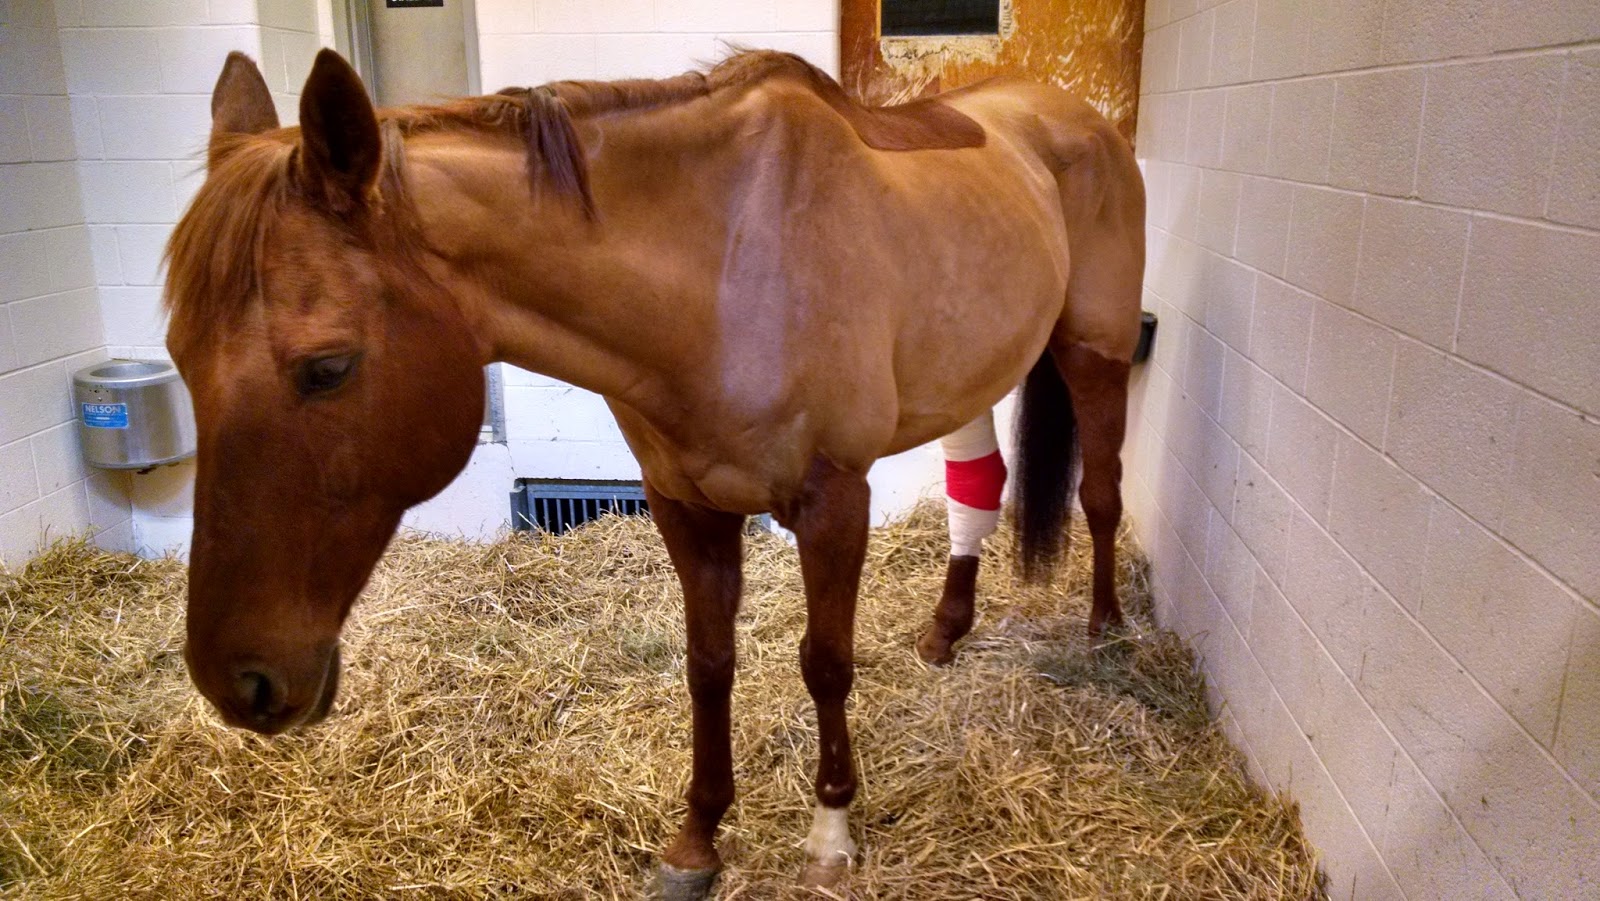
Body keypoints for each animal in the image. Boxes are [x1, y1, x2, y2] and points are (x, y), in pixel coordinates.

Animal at [166, 48, 1144, 896]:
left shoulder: (834, 499)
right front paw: (698, 839)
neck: (721, 263)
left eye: (327, 367)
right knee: (976, 490)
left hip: (1092, 355)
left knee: (1100, 491)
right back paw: (946, 629)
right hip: (973, 374)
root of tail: (1080, 118)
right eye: (178, 356)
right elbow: (708, 664)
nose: (237, 682)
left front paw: (830, 832)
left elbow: (824, 661)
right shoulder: (685, 505)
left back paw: (1106, 629)